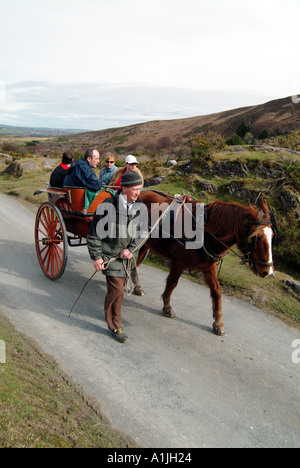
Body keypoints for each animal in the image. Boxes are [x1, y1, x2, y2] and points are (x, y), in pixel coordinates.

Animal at [132, 190, 274, 336]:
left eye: (272, 236)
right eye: (257, 237)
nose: (268, 272)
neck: (204, 231)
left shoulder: (209, 267)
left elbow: (216, 291)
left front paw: (218, 322)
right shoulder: (179, 262)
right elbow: (172, 283)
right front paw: (167, 307)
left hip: (145, 244)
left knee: (135, 263)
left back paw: (137, 287)